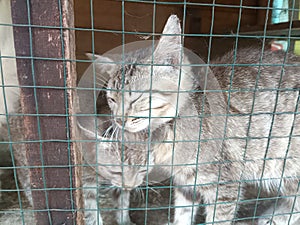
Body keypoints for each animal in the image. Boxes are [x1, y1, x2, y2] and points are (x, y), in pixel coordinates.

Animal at [91, 14, 300, 224]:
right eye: (112, 99)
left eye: (136, 97)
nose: (118, 120)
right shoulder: (185, 184)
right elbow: (182, 214)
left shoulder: (224, 186)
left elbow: (218, 218)